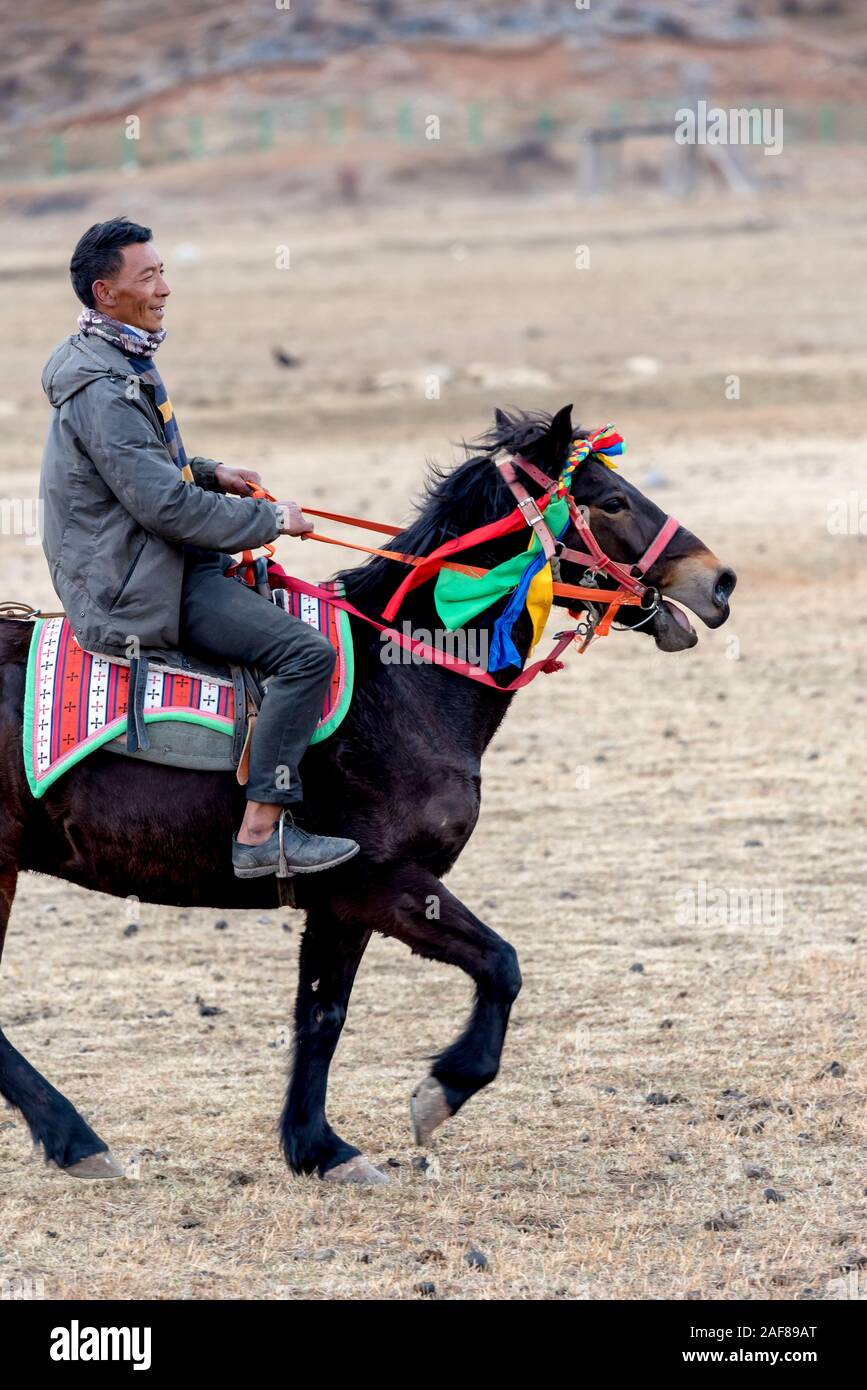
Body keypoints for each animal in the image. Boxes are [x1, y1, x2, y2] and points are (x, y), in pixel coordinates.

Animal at [0, 405, 736, 1184]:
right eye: (612, 500)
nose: (719, 581)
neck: (403, 682)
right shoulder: (378, 881)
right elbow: (501, 966)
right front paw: (440, 1091)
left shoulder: (337, 901)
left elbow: (322, 1016)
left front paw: (317, 1147)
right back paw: (76, 1139)